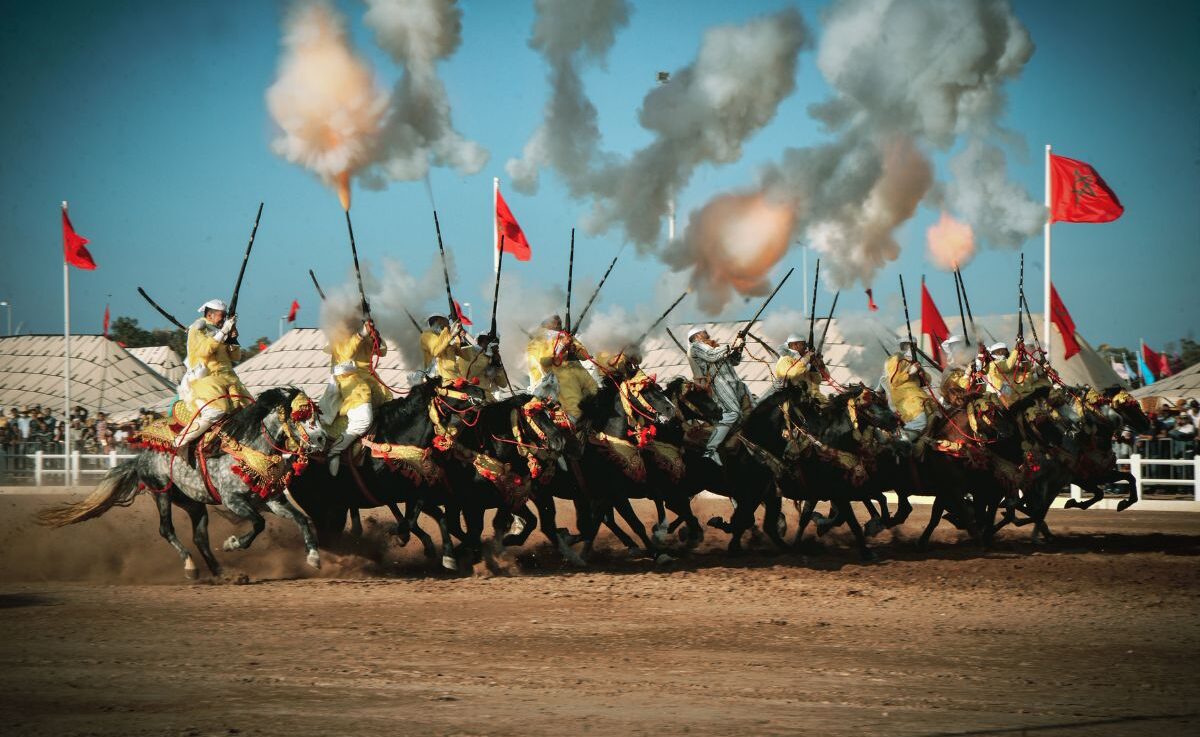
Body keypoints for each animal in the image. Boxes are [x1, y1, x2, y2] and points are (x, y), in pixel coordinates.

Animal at [38, 388, 328, 580]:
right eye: (301, 415)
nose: (323, 438)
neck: (248, 449)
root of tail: (141, 457)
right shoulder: (233, 500)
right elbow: (258, 523)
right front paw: (232, 543)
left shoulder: (271, 499)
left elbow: (302, 519)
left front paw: (313, 557)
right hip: (162, 493)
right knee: (166, 530)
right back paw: (192, 566)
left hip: (193, 503)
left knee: (200, 536)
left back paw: (223, 572)